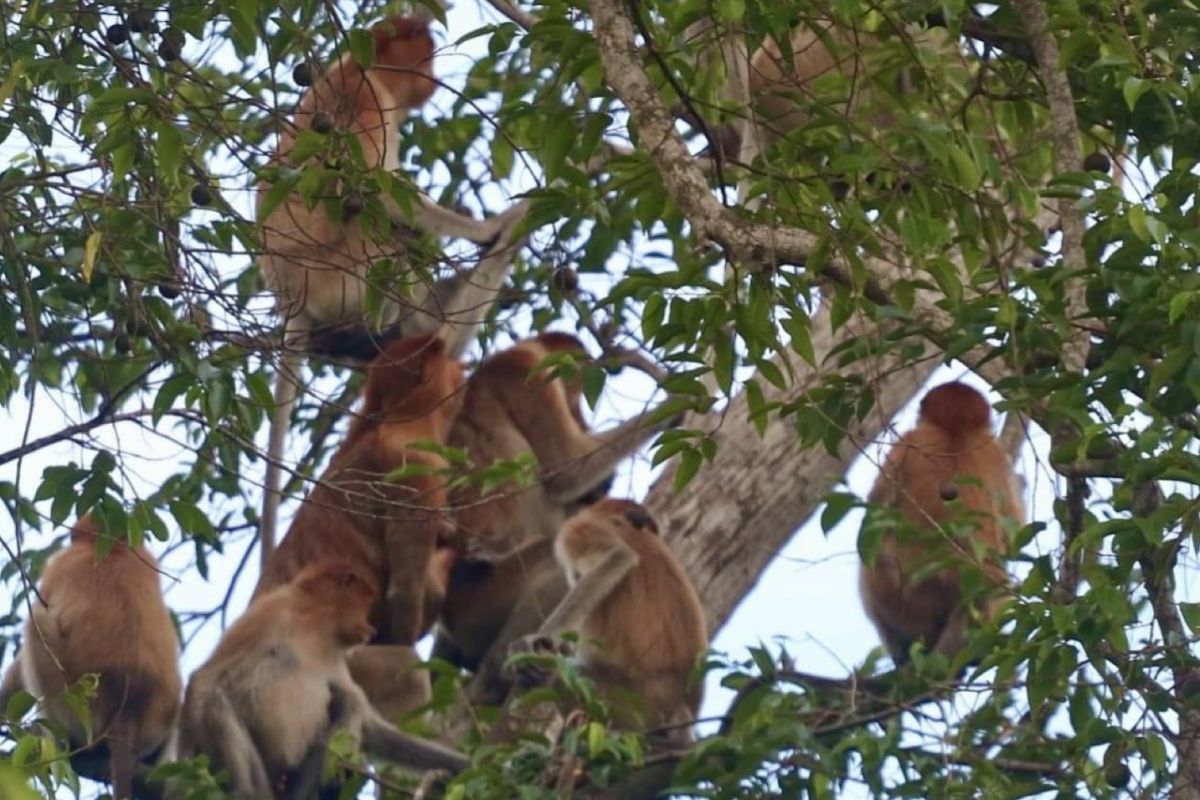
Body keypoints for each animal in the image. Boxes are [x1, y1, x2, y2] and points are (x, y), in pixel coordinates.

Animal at [175, 556, 465, 800]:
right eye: (367, 601)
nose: (370, 629)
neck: (314, 625)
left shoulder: (336, 656)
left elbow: (370, 725)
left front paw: (466, 764)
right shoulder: (272, 609)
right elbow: (206, 676)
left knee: (349, 701)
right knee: (216, 700)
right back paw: (247, 791)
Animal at [494, 501, 705, 753]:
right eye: (652, 527)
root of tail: (678, 702)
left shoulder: (581, 529)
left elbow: (618, 557)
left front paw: (531, 643)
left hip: (625, 699)